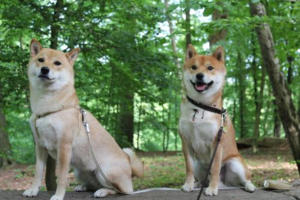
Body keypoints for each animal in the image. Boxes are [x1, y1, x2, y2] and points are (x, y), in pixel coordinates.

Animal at [23, 39, 143, 200]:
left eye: (57, 63)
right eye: (41, 60)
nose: (44, 69)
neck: (48, 108)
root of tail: (129, 165)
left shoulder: (64, 146)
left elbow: (61, 176)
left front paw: (58, 195)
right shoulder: (40, 145)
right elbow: (38, 172)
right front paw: (33, 190)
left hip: (105, 171)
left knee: (119, 190)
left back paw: (103, 191)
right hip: (79, 171)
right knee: (93, 185)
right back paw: (84, 187)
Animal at [178, 44, 255, 195]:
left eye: (210, 68)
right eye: (194, 67)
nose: (199, 75)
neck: (200, 107)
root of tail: (224, 183)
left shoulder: (216, 142)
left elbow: (214, 168)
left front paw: (212, 189)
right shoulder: (186, 142)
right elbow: (189, 168)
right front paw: (188, 185)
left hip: (235, 163)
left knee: (245, 179)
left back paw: (248, 186)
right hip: (199, 164)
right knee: (202, 179)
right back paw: (198, 184)